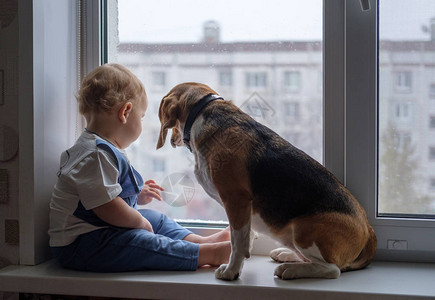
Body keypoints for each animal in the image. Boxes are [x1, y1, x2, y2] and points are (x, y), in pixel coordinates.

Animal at [158, 82, 378, 282]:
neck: (204, 111)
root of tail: (368, 228)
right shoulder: (244, 209)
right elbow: (246, 239)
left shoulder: (235, 199)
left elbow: (237, 243)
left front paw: (231, 271)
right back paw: (287, 255)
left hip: (303, 230)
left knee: (332, 269)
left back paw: (291, 270)